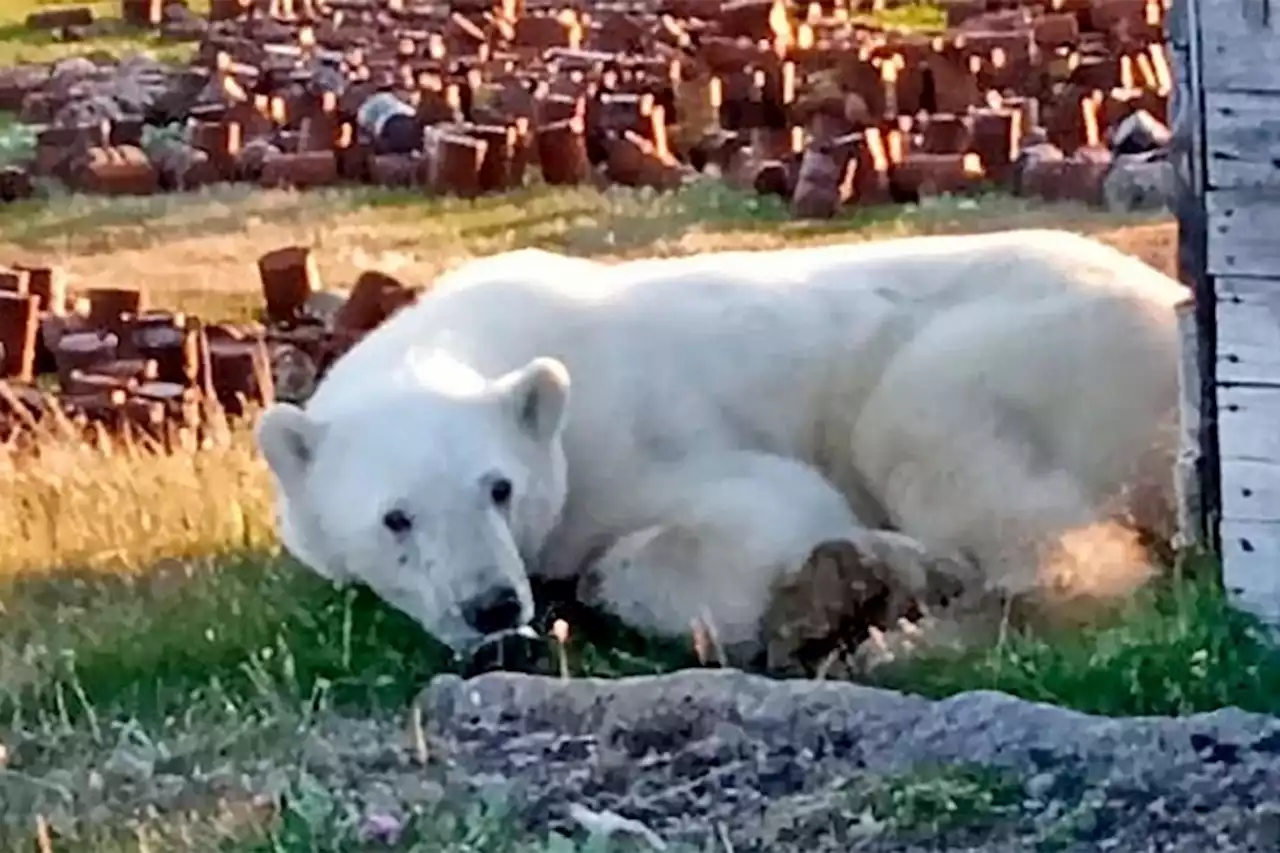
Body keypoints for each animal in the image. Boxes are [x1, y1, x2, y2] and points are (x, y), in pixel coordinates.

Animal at [254, 229, 1182, 660]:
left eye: (499, 487)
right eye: (396, 518)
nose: (492, 606)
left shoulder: (632, 432)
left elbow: (765, 511)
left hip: (1031, 345)